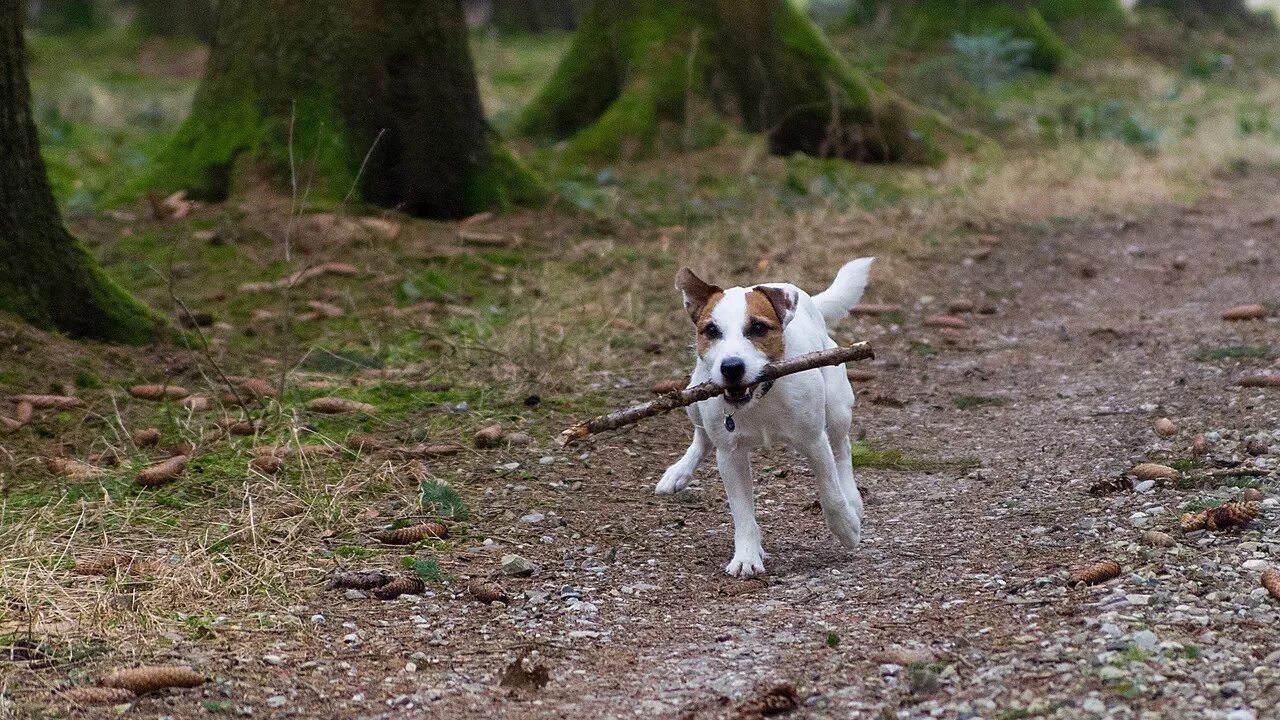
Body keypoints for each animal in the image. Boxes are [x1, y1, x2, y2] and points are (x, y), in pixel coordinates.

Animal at [655, 257, 875, 576]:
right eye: (711, 331)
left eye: (758, 327)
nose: (731, 367)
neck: (760, 395)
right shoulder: (730, 454)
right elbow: (742, 510)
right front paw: (747, 556)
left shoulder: (814, 442)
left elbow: (830, 492)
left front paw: (846, 526)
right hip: (693, 398)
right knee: (702, 437)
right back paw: (678, 472)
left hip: (837, 406)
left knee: (842, 449)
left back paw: (853, 501)